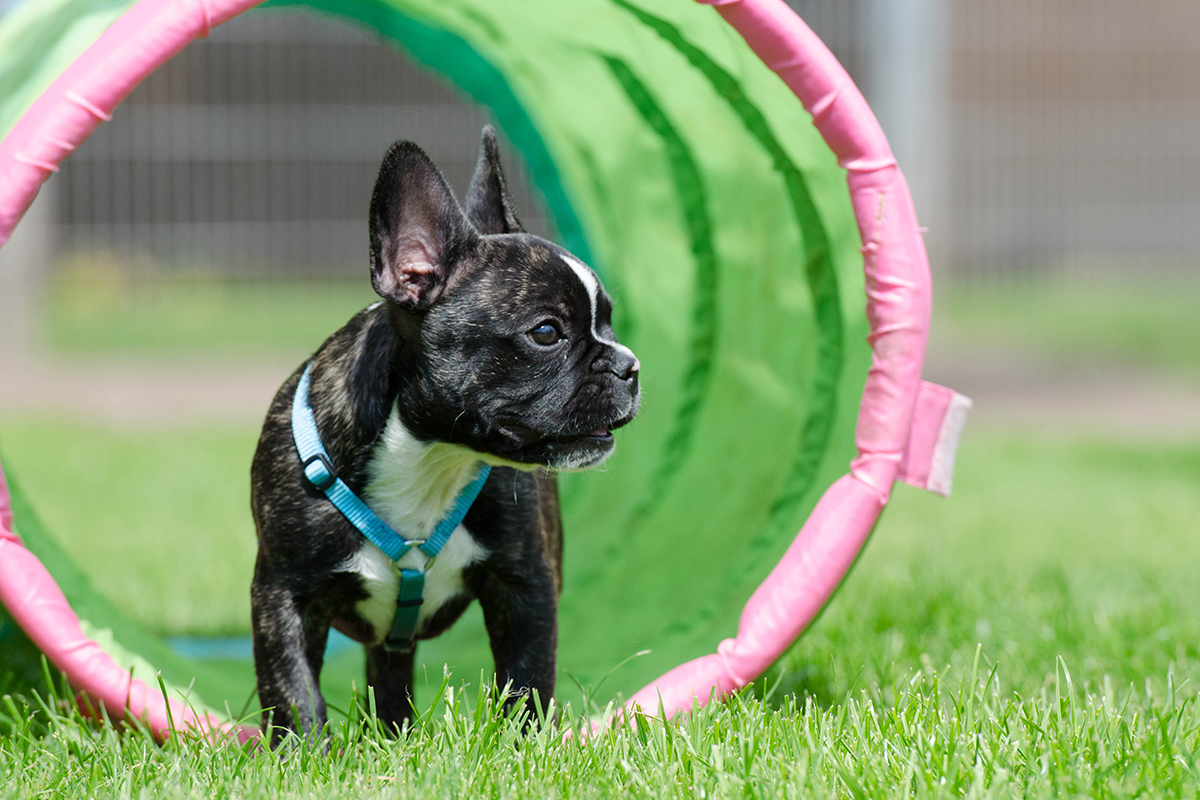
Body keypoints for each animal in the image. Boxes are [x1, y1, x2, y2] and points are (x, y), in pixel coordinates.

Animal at [249, 126, 643, 743]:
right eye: (546, 332)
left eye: (608, 323)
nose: (629, 365)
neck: (429, 455)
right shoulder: (283, 594)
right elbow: (292, 691)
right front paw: (306, 753)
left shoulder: (525, 585)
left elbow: (528, 678)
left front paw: (522, 747)